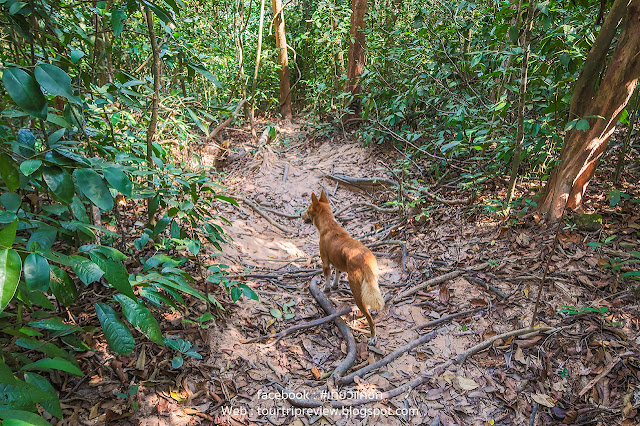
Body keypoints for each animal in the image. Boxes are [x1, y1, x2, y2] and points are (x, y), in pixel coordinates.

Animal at [302, 190, 384, 342]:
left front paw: (327, 288)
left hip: (356, 291)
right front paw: (335, 285)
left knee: (370, 318)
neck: (329, 225)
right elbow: (337, 275)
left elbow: (327, 278)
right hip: (372, 283)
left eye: (308, 210)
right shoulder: (337, 263)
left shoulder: (325, 262)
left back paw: (372, 336)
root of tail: (365, 262)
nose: (300, 215)